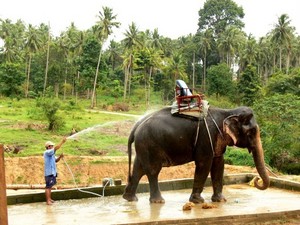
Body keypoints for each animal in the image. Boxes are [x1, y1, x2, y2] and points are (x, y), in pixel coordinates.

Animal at [122, 106, 270, 204]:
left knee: (138, 169)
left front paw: (220, 200)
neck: (228, 112)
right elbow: (204, 164)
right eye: (251, 132)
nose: (256, 179)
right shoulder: (206, 137)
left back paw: (130, 199)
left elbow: (218, 164)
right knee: (153, 171)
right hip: (150, 145)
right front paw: (198, 201)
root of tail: (136, 126)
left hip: (143, 146)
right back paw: (158, 201)